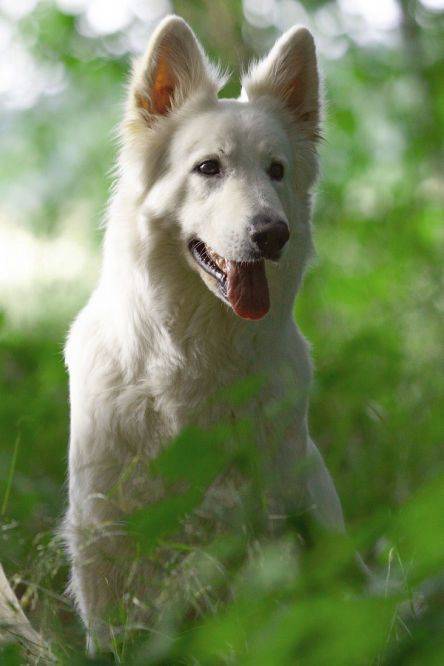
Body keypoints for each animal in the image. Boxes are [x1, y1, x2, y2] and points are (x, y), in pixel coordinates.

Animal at [64, 15, 346, 644]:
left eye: (276, 170)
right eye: (208, 168)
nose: (273, 234)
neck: (193, 356)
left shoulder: (266, 520)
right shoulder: (105, 533)